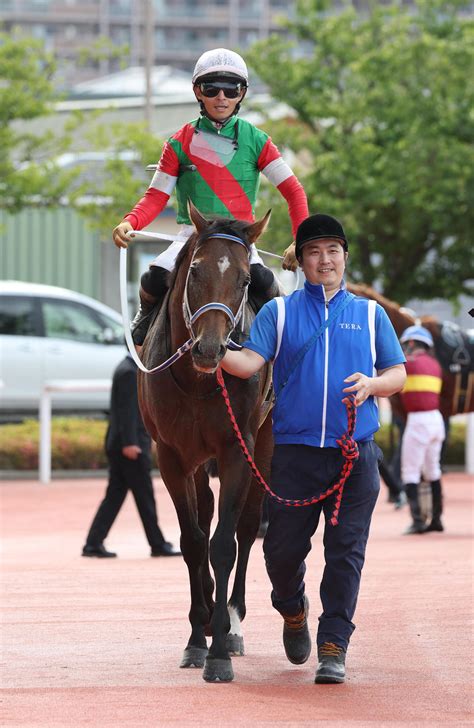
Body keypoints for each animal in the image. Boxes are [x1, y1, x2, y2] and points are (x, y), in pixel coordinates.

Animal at [137, 200, 274, 684]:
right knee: (206, 513)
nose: (210, 348)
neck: (198, 383)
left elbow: (224, 544)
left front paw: (218, 648)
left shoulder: (236, 450)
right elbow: (193, 541)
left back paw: (231, 621)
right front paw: (197, 638)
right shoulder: (172, 456)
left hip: (266, 442)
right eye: (195, 271)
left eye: (246, 280)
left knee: (248, 528)